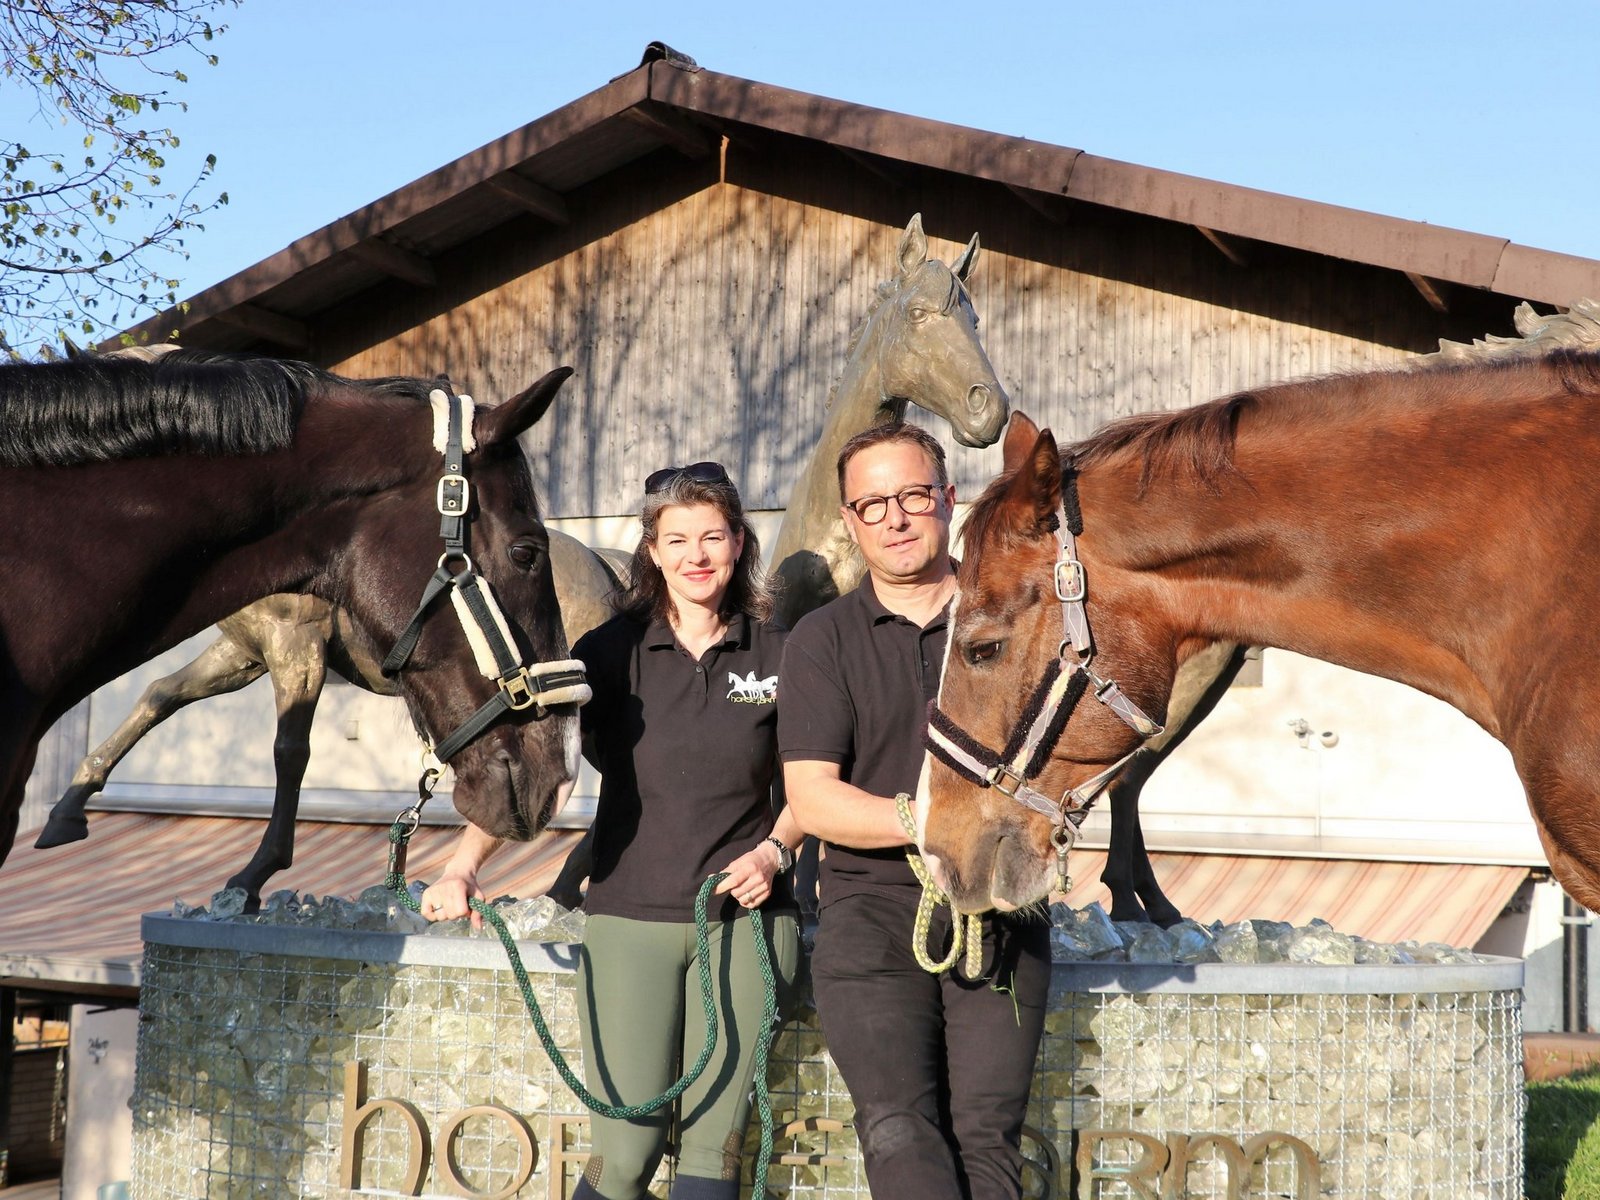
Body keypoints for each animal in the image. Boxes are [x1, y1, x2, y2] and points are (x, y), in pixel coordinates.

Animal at [0, 350, 588, 874]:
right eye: (525, 552)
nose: (559, 780)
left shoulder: (292, 646)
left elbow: (287, 747)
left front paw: (255, 875)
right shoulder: (248, 651)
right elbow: (168, 694)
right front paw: (74, 802)